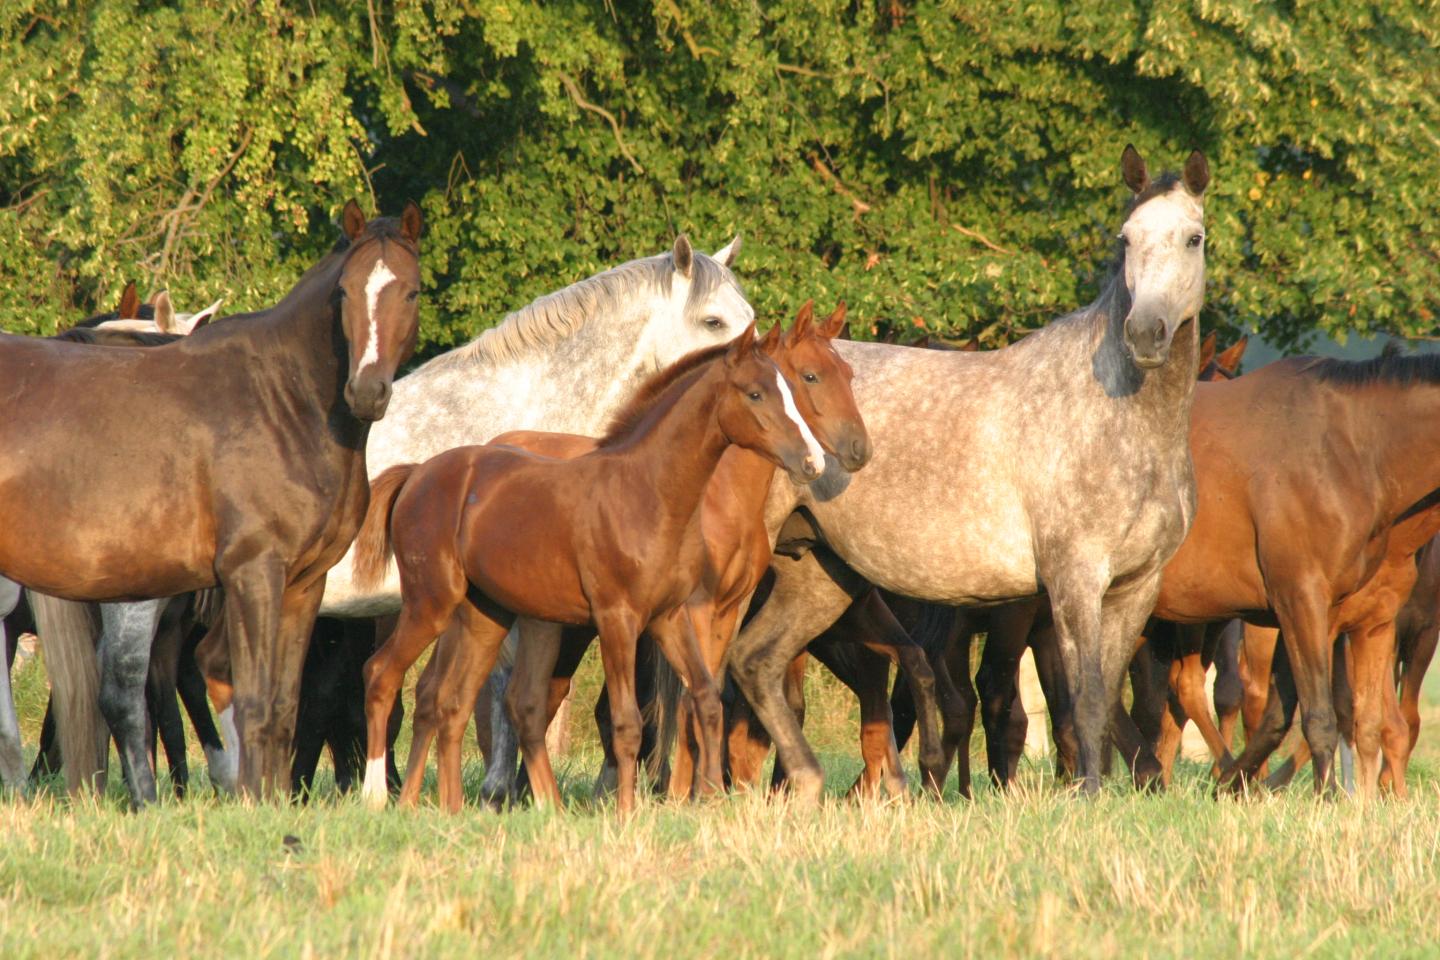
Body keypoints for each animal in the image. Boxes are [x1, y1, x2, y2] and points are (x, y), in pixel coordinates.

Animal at [0, 200, 423, 799]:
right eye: (344, 292)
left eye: (411, 291)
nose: (366, 392)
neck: (281, 400)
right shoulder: (252, 575)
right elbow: (253, 701)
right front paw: (253, 800)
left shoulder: (304, 585)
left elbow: (286, 706)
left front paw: (272, 799)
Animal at [403, 303, 888, 805]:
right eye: (809, 376)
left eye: (848, 374)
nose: (856, 450)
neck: (719, 497)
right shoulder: (693, 608)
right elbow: (686, 703)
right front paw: (685, 793)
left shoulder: (725, 609)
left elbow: (709, 693)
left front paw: (702, 790)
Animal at [717, 146, 1209, 798]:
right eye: (1126, 239)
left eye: (1193, 238)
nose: (1146, 333)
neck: (1118, 416)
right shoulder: (1074, 582)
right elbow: (1085, 700)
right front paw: (1085, 796)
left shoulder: (1136, 586)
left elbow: (1104, 704)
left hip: (818, 576)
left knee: (756, 663)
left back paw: (807, 784)